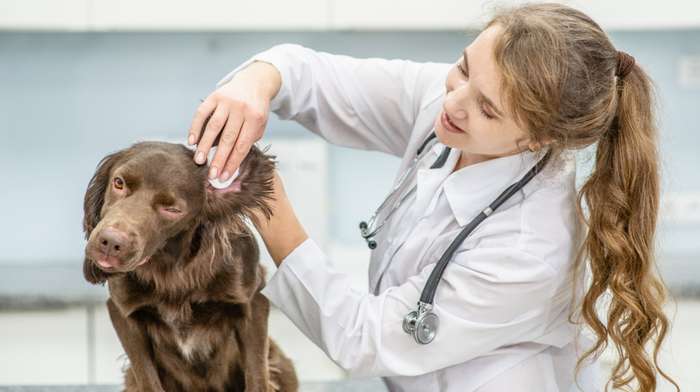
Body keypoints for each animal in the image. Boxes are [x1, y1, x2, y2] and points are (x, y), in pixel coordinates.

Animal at [81, 142, 298, 392]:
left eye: (172, 210)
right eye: (119, 183)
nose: (110, 243)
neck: (170, 269)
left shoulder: (253, 302)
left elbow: (257, 377)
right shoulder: (123, 312)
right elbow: (148, 379)